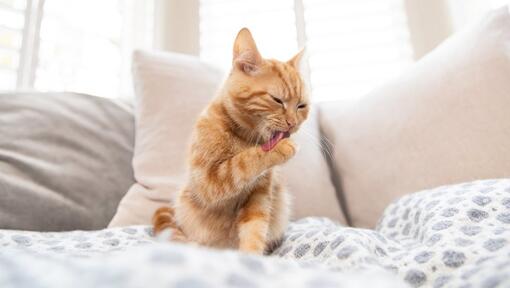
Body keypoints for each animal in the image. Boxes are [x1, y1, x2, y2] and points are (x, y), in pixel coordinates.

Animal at [151, 28, 308, 254]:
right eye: (277, 100)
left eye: (301, 106)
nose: (292, 123)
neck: (246, 138)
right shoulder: (208, 181)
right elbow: (241, 163)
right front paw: (281, 149)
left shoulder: (258, 197)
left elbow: (255, 230)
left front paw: (251, 256)